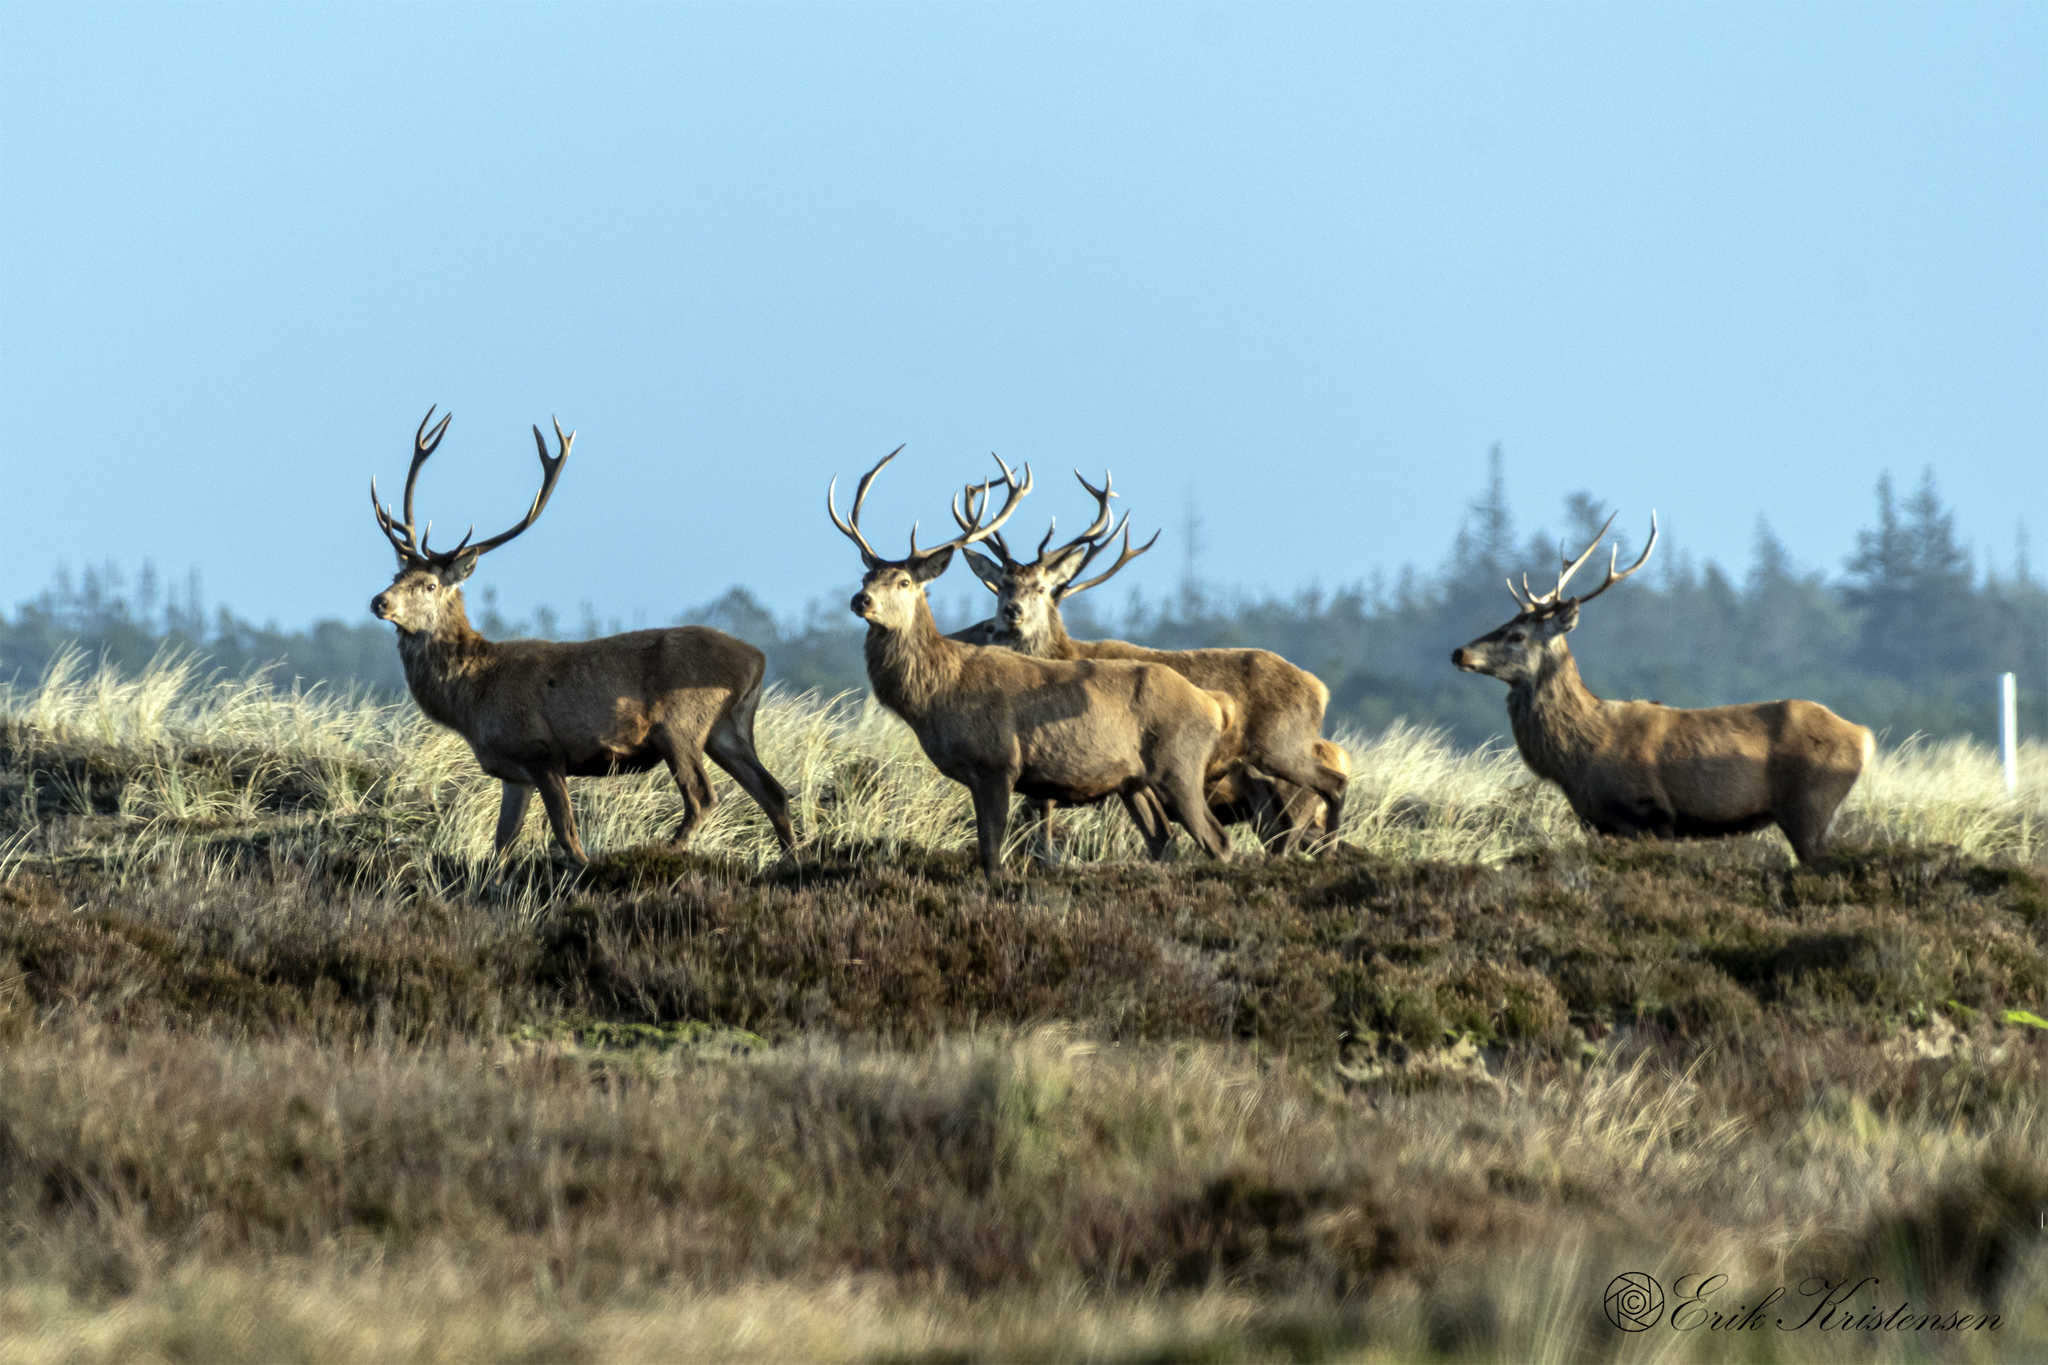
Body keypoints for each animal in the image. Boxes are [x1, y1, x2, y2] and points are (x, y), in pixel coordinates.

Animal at [369, 408, 796, 865]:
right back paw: (792, 859)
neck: (474, 697)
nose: (379, 601)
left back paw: (660, 851)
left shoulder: (543, 752)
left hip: (680, 725)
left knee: (702, 796)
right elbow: (500, 849)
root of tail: (757, 660)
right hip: (728, 729)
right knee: (773, 793)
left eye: (429, 585)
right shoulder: (513, 773)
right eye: (395, 575)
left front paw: (584, 868)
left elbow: (568, 837)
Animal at [829, 447, 1236, 877]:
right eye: (865, 577)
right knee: (1162, 838)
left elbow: (992, 855)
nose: (860, 600)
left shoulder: (997, 762)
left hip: (1180, 765)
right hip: (1135, 781)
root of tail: (1216, 704)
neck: (937, 698)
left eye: (904, 582)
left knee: (1217, 840)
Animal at [950, 467, 1349, 853]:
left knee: (1317, 805)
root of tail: (1321, 690)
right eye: (1002, 585)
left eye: (1042, 587)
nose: (1011, 612)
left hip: (1282, 751)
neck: (1062, 655)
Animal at [1451, 512, 1873, 865]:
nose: (1458, 652)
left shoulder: (1650, 815)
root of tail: (1863, 736)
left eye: (1517, 635)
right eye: (1504, 623)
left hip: (1810, 805)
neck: (1580, 759)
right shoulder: (1595, 822)